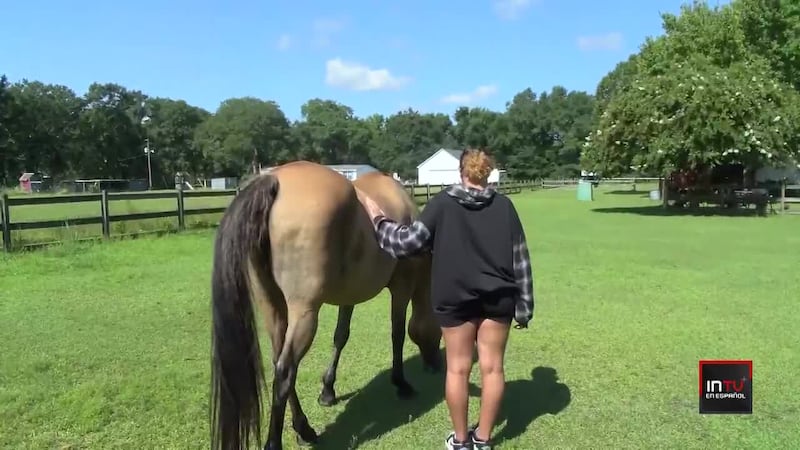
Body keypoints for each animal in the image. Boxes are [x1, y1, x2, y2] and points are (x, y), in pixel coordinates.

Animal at [209, 161, 442, 450]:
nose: (436, 364)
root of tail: (273, 180)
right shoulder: (402, 288)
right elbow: (397, 334)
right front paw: (401, 383)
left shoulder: (348, 296)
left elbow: (340, 336)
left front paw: (328, 391)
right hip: (305, 313)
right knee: (285, 370)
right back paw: (277, 440)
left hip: (272, 307)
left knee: (278, 362)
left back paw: (304, 428)